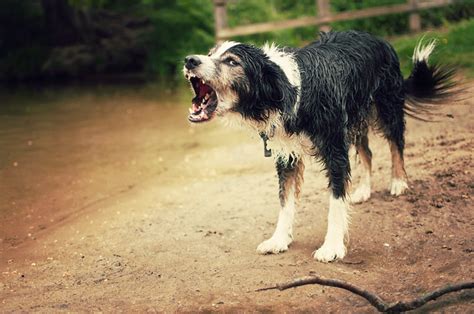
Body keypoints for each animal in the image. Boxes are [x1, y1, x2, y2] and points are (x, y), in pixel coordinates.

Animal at [182, 31, 456, 262]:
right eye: (211, 53)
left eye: (231, 62)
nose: (189, 60)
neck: (289, 93)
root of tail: (378, 38)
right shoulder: (287, 155)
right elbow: (285, 201)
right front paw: (279, 240)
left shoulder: (334, 149)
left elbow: (335, 201)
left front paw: (332, 247)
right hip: (354, 120)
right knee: (367, 152)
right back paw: (364, 190)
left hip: (387, 105)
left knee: (396, 142)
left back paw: (398, 182)